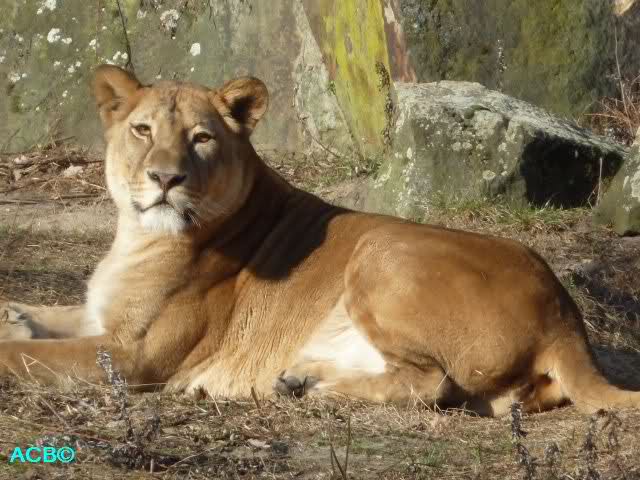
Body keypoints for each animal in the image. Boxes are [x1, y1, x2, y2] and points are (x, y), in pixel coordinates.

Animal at [0, 65, 638, 416]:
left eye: (201, 138)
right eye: (141, 130)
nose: (165, 178)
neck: (135, 236)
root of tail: (564, 314)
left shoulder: (138, 356)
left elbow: (27, 356)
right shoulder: (100, 317)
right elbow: (42, 317)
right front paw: (14, 314)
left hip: (382, 256)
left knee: (432, 383)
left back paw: (310, 389)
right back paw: (300, 378)